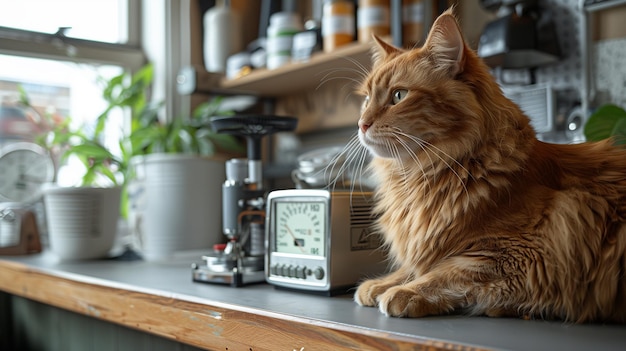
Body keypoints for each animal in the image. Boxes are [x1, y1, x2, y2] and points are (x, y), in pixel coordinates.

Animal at [352, 9, 624, 324]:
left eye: (399, 96)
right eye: (367, 99)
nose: (361, 124)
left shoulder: (525, 254)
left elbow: (447, 272)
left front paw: (406, 292)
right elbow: (416, 267)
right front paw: (380, 283)